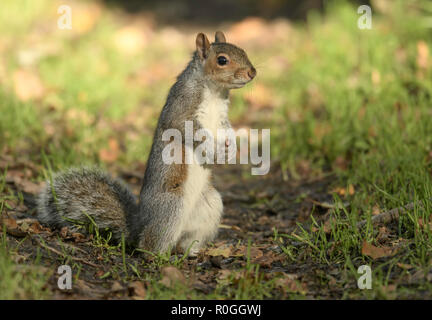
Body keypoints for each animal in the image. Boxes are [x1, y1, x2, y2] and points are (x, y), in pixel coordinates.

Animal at [37, 31, 256, 254]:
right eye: (222, 60)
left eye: (243, 50)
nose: (252, 72)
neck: (214, 91)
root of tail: (139, 227)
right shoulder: (182, 106)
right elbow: (189, 129)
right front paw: (214, 148)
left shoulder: (221, 117)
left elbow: (227, 128)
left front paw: (232, 148)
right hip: (172, 206)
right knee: (148, 245)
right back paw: (160, 256)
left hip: (210, 205)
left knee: (184, 242)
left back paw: (194, 252)